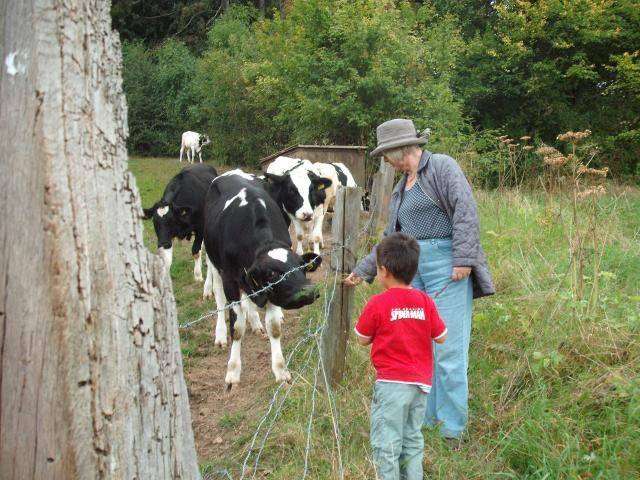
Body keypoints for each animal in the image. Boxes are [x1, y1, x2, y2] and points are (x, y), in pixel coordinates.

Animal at [204, 171, 320, 388]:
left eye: (302, 266)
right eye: (272, 274)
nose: (308, 292)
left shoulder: (270, 290)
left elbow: (273, 327)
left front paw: (281, 370)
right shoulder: (230, 280)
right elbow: (237, 327)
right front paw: (233, 372)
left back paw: (256, 322)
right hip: (214, 264)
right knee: (219, 298)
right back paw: (221, 333)